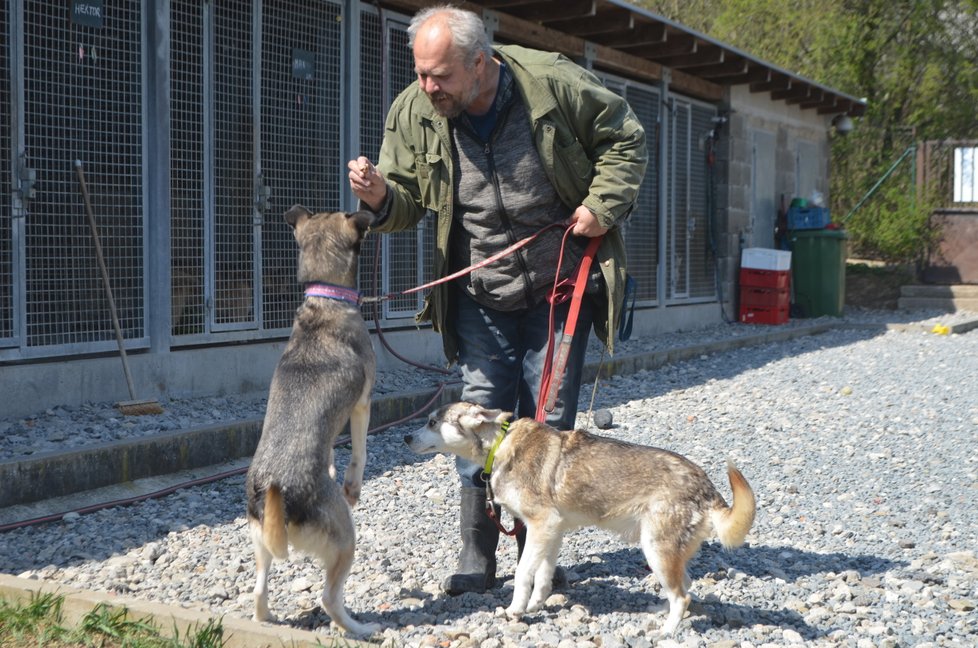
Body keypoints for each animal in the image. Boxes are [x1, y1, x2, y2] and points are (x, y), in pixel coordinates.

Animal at [244, 205, 378, 636]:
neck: (326, 300)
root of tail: (278, 492)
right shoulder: (362, 404)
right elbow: (359, 453)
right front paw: (350, 482)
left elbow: (335, 451)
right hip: (345, 540)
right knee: (329, 598)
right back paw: (361, 629)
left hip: (260, 543)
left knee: (258, 591)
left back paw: (268, 617)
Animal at [404, 402, 756, 636]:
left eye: (432, 422)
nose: (406, 438)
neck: (500, 445)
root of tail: (707, 486)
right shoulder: (552, 531)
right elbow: (543, 575)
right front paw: (536, 605)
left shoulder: (540, 525)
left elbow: (523, 573)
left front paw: (516, 609)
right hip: (665, 552)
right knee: (686, 585)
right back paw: (660, 611)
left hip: (656, 549)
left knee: (682, 595)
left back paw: (667, 632)